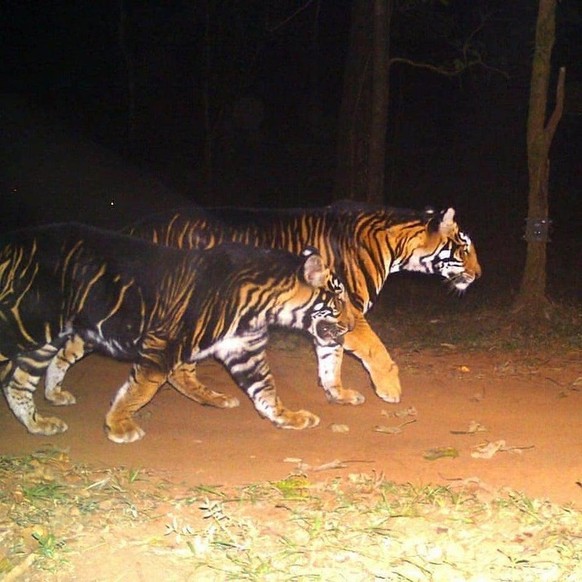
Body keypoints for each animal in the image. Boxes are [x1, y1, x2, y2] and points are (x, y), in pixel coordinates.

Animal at [1, 224, 356, 442]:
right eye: (339, 299)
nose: (353, 324)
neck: (265, 306)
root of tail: (12, 241)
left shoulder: (244, 350)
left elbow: (265, 391)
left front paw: (289, 418)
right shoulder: (163, 344)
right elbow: (140, 389)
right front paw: (118, 426)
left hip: (46, 339)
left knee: (19, 382)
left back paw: (38, 423)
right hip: (25, 324)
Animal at [45, 203, 484, 408]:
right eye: (464, 247)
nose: (480, 275)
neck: (397, 245)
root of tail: (137, 226)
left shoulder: (330, 317)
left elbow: (331, 359)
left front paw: (338, 394)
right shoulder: (349, 308)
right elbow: (374, 347)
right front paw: (390, 389)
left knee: (73, 348)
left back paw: (53, 394)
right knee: (175, 367)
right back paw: (213, 399)